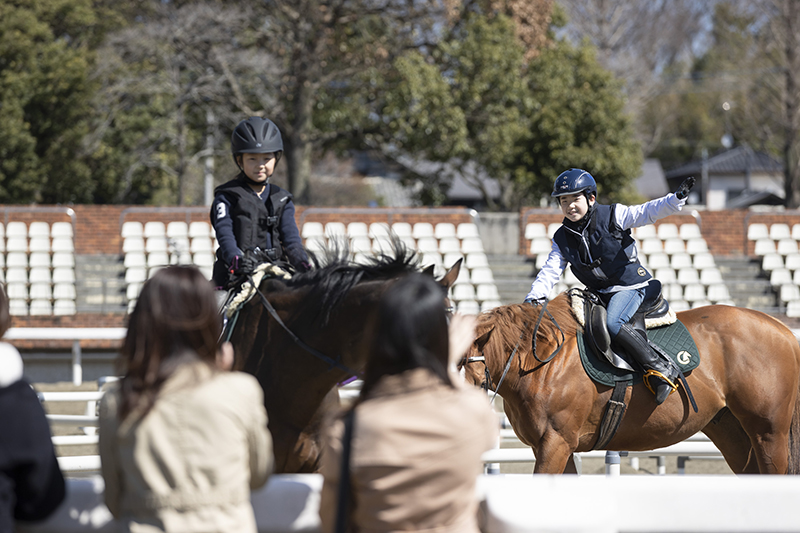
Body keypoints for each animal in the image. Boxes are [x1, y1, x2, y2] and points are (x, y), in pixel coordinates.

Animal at [460, 296, 800, 474]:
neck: (541, 364)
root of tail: (782, 329)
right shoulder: (554, 447)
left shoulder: (555, 443)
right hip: (732, 432)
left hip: (768, 434)